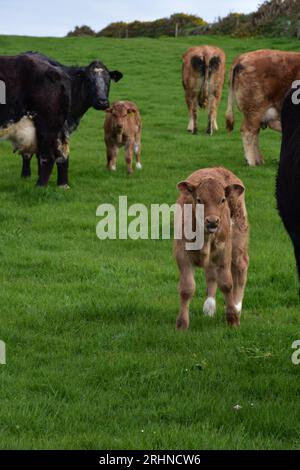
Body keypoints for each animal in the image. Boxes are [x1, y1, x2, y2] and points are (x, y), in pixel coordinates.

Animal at [176, 167, 248, 328]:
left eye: (222, 200)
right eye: (199, 200)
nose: (212, 221)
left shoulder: (224, 250)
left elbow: (227, 283)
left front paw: (233, 319)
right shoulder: (182, 253)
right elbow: (187, 288)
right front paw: (182, 324)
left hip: (239, 240)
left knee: (240, 267)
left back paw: (237, 306)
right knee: (211, 272)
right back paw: (209, 307)